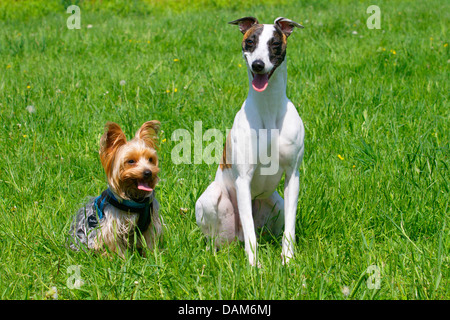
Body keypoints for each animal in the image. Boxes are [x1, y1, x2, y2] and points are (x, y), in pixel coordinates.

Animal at [68, 121, 162, 256]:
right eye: (131, 161)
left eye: (150, 159)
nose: (148, 172)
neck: (135, 198)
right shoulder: (111, 226)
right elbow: (113, 244)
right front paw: (121, 259)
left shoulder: (151, 222)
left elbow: (149, 241)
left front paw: (152, 255)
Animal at [195, 16, 304, 266]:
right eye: (250, 42)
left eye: (275, 43)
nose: (258, 65)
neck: (269, 107)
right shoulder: (243, 180)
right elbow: (250, 233)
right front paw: (254, 267)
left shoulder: (293, 176)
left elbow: (290, 227)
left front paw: (288, 260)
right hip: (211, 201)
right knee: (224, 237)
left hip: (276, 203)